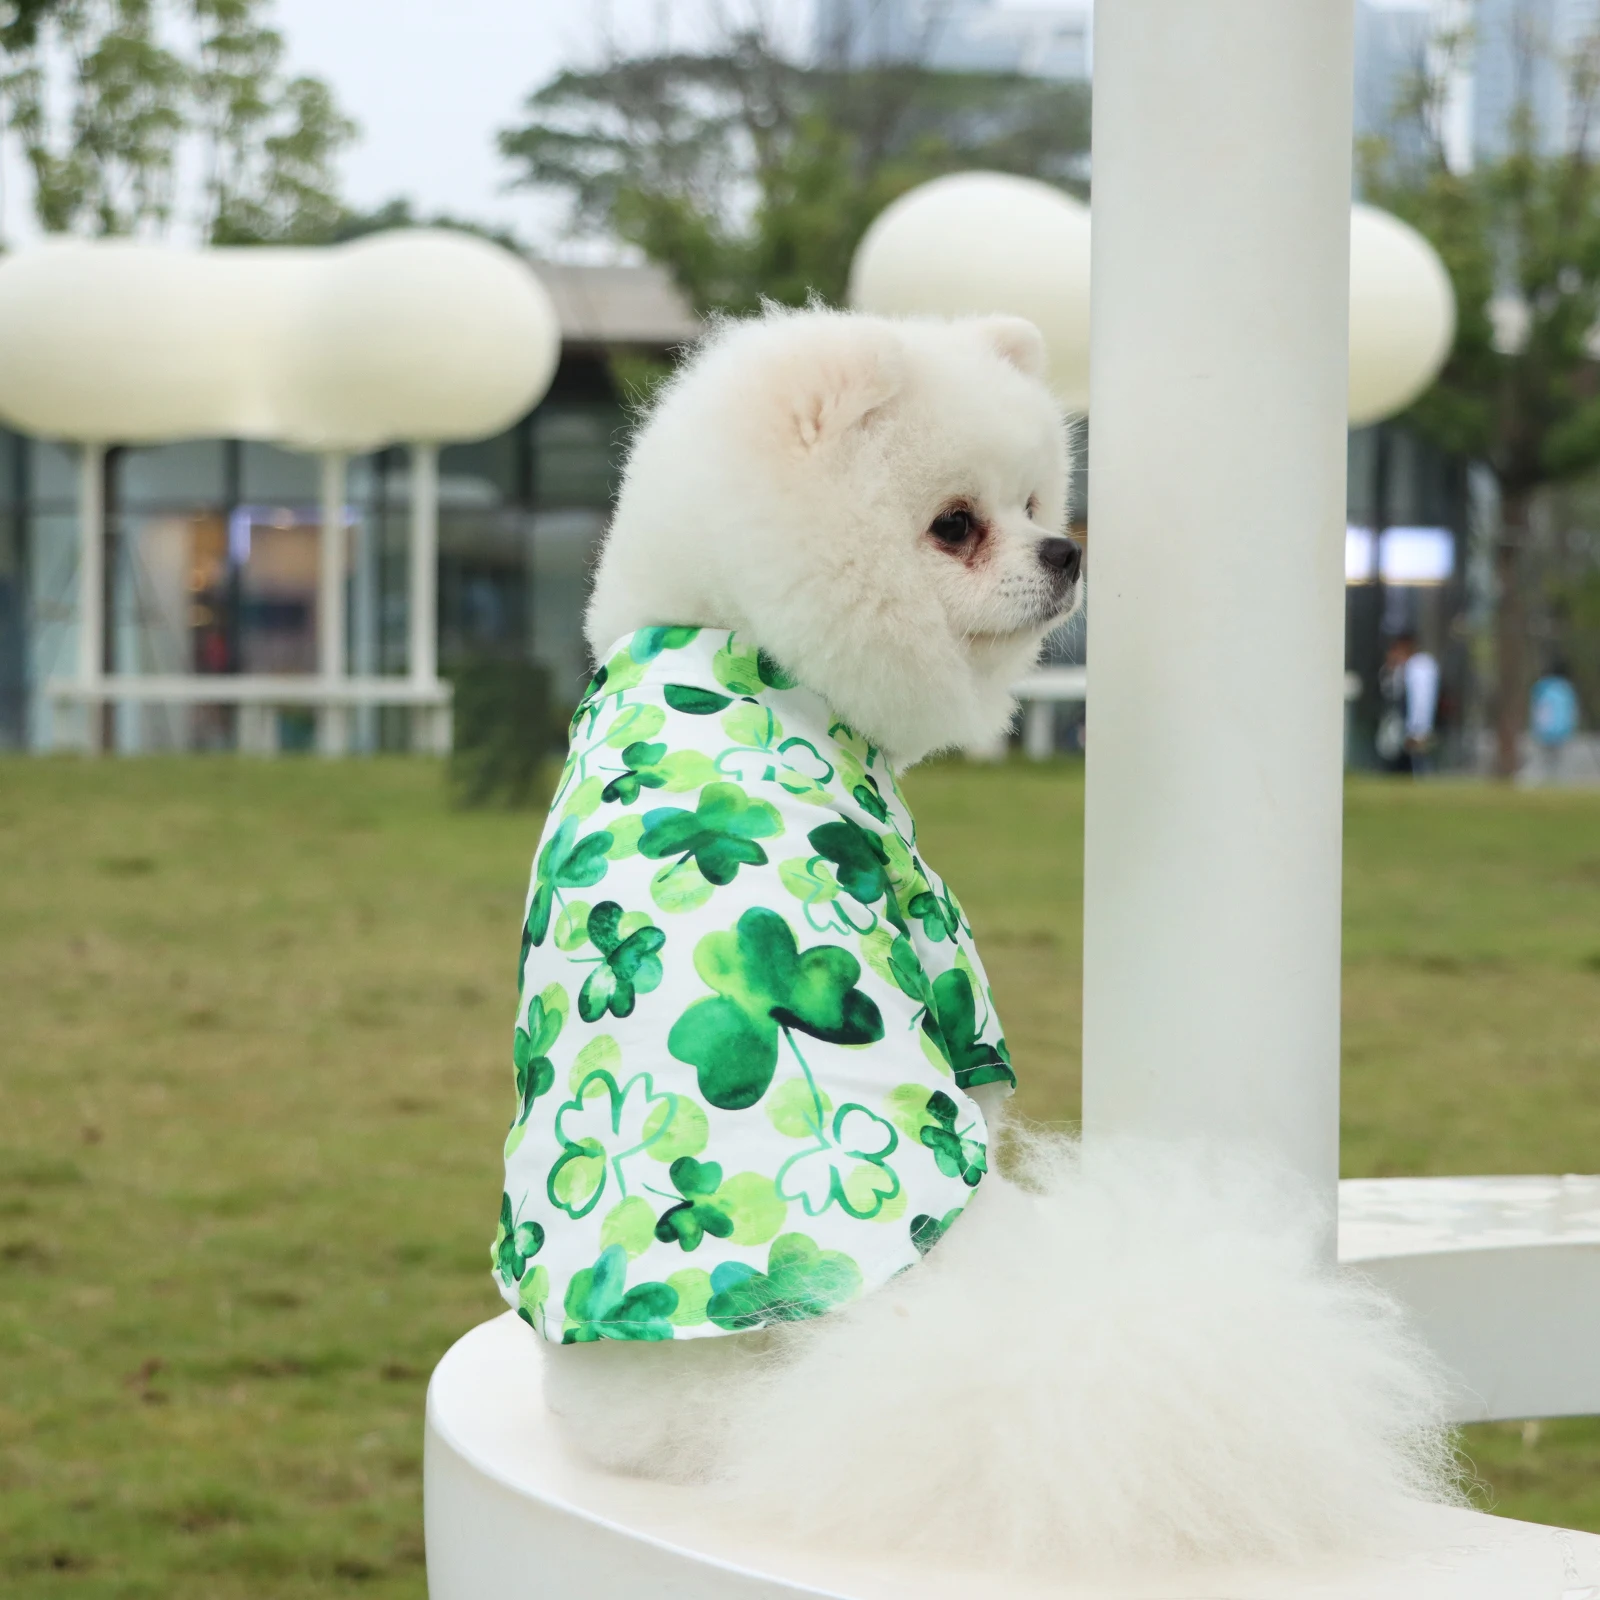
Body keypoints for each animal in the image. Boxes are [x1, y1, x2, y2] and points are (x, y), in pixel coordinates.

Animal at [494, 306, 1455, 1578]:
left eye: (1041, 501)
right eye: (956, 525)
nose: (1065, 553)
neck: (729, 634)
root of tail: (776, 1391)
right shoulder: (941, 950)